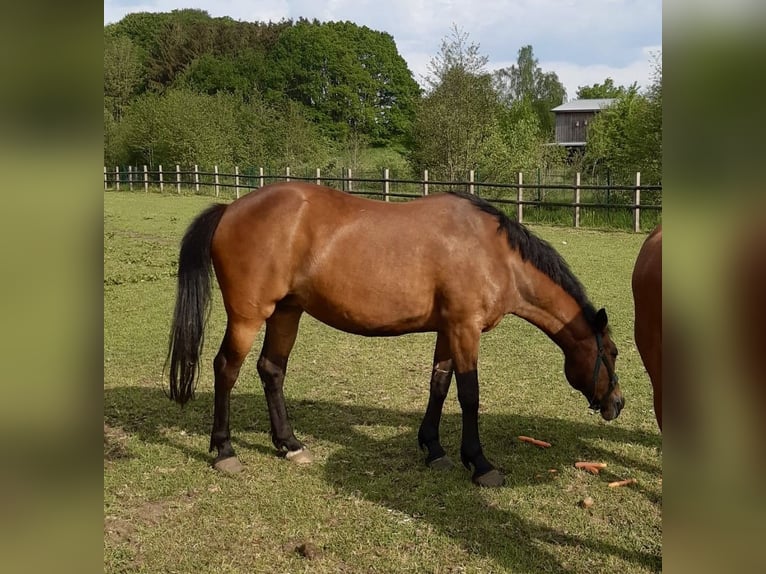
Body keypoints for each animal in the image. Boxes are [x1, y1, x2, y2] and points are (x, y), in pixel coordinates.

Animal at [166, 182, 624, 488]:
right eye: (614, 353)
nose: (617, 404)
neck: (494, 255)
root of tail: (230, 208)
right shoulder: (465, 329)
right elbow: (469, 395)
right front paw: (479, 463)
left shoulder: (449, 330)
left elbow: (439, 385)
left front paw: (434, 449)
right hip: (249, 316)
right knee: (226, 369)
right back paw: (225, 450)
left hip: (286, 312)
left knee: (271, 370)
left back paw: (289, 444)